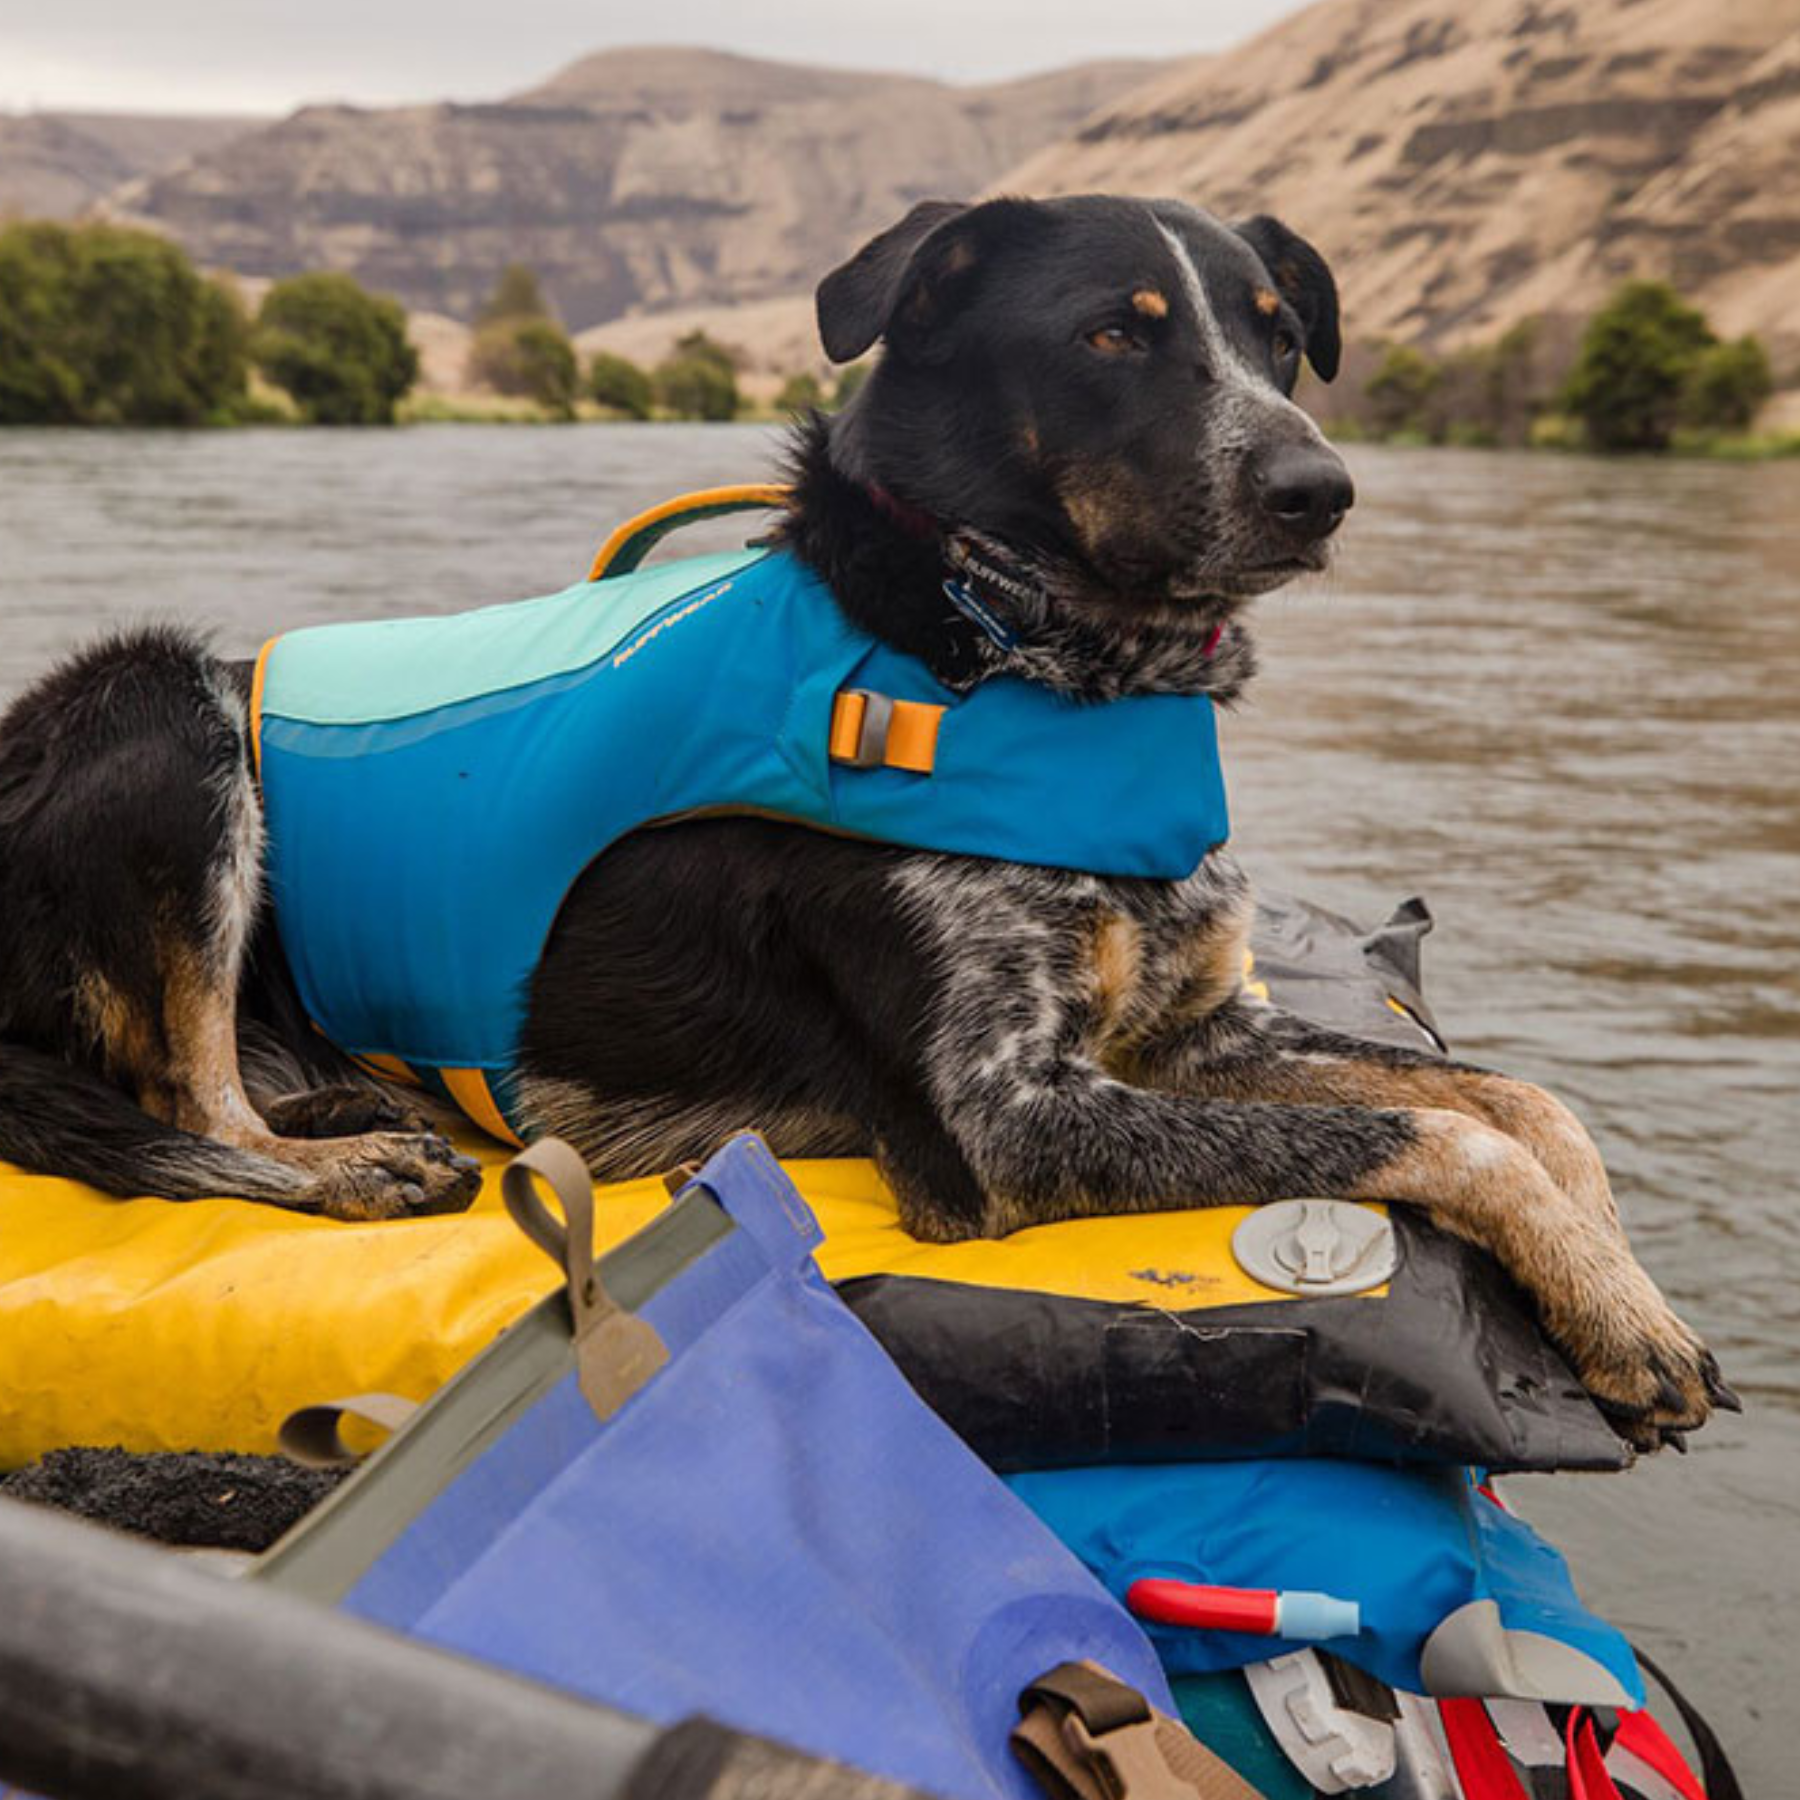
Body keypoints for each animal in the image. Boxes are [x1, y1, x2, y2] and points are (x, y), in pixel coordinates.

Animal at [3, 193, 1742, 1447]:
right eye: (1115, 332)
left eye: (1278, 339)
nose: (1321, 489)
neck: (1014, 655)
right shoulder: (1010, 1120)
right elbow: (1446, 1131)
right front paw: (1607, 1294)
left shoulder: (1198, 1037)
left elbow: (1527, 1106)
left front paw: (1621, 1300)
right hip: (163, 720)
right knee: (182, 1105)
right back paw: (358, 1162)